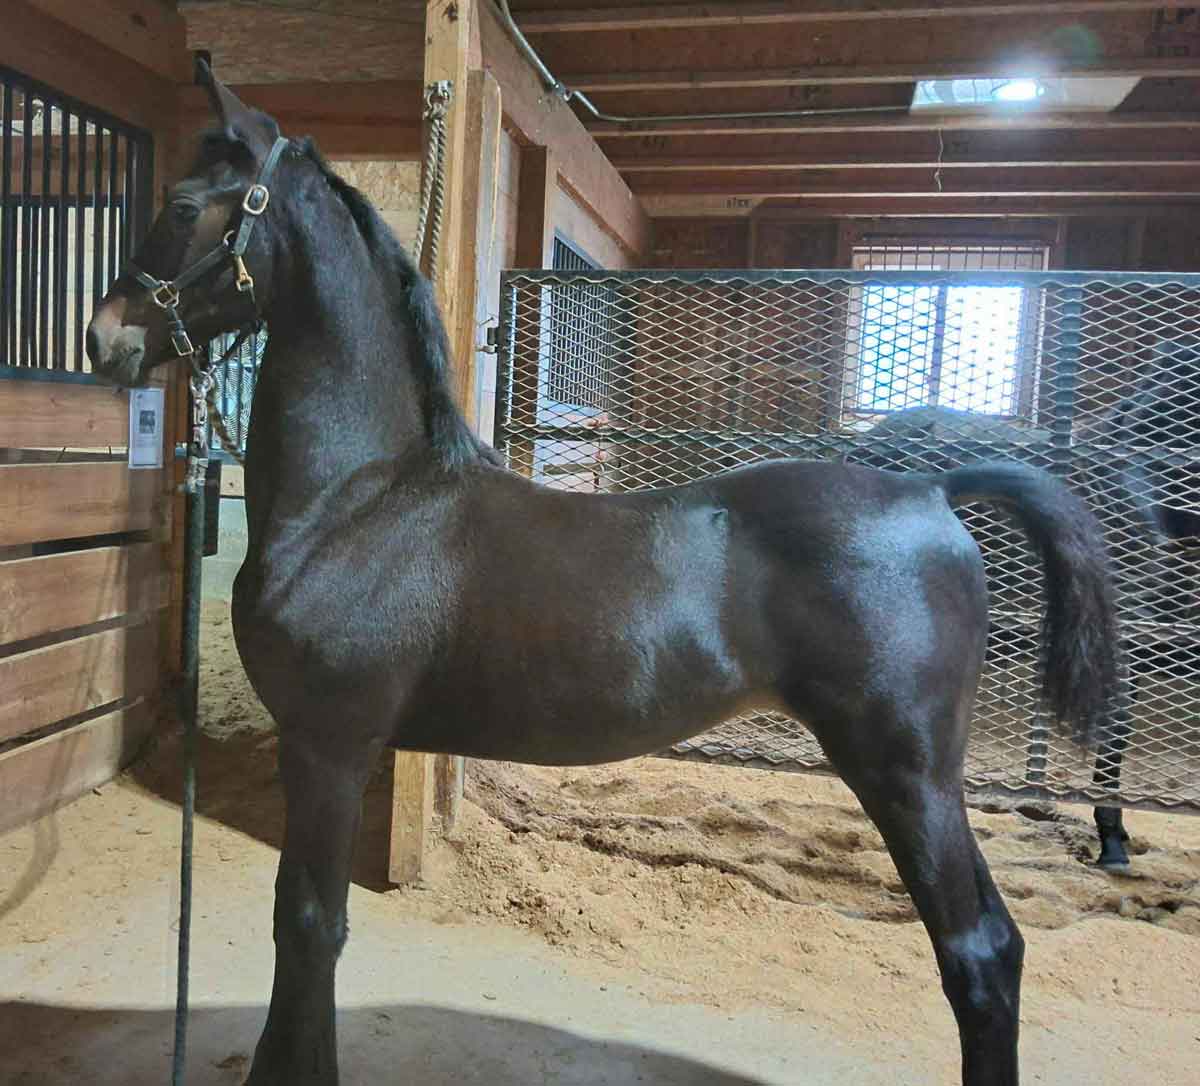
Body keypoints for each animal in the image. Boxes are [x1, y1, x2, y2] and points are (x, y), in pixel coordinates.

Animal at [86, 67, 1119, 1086]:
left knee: (975, 954)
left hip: (905, 772)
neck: (360, 500)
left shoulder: (330, 745)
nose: (107, 338)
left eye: (183, 205)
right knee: (1000, 945)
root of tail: (934, 490)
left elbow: (308, 925)